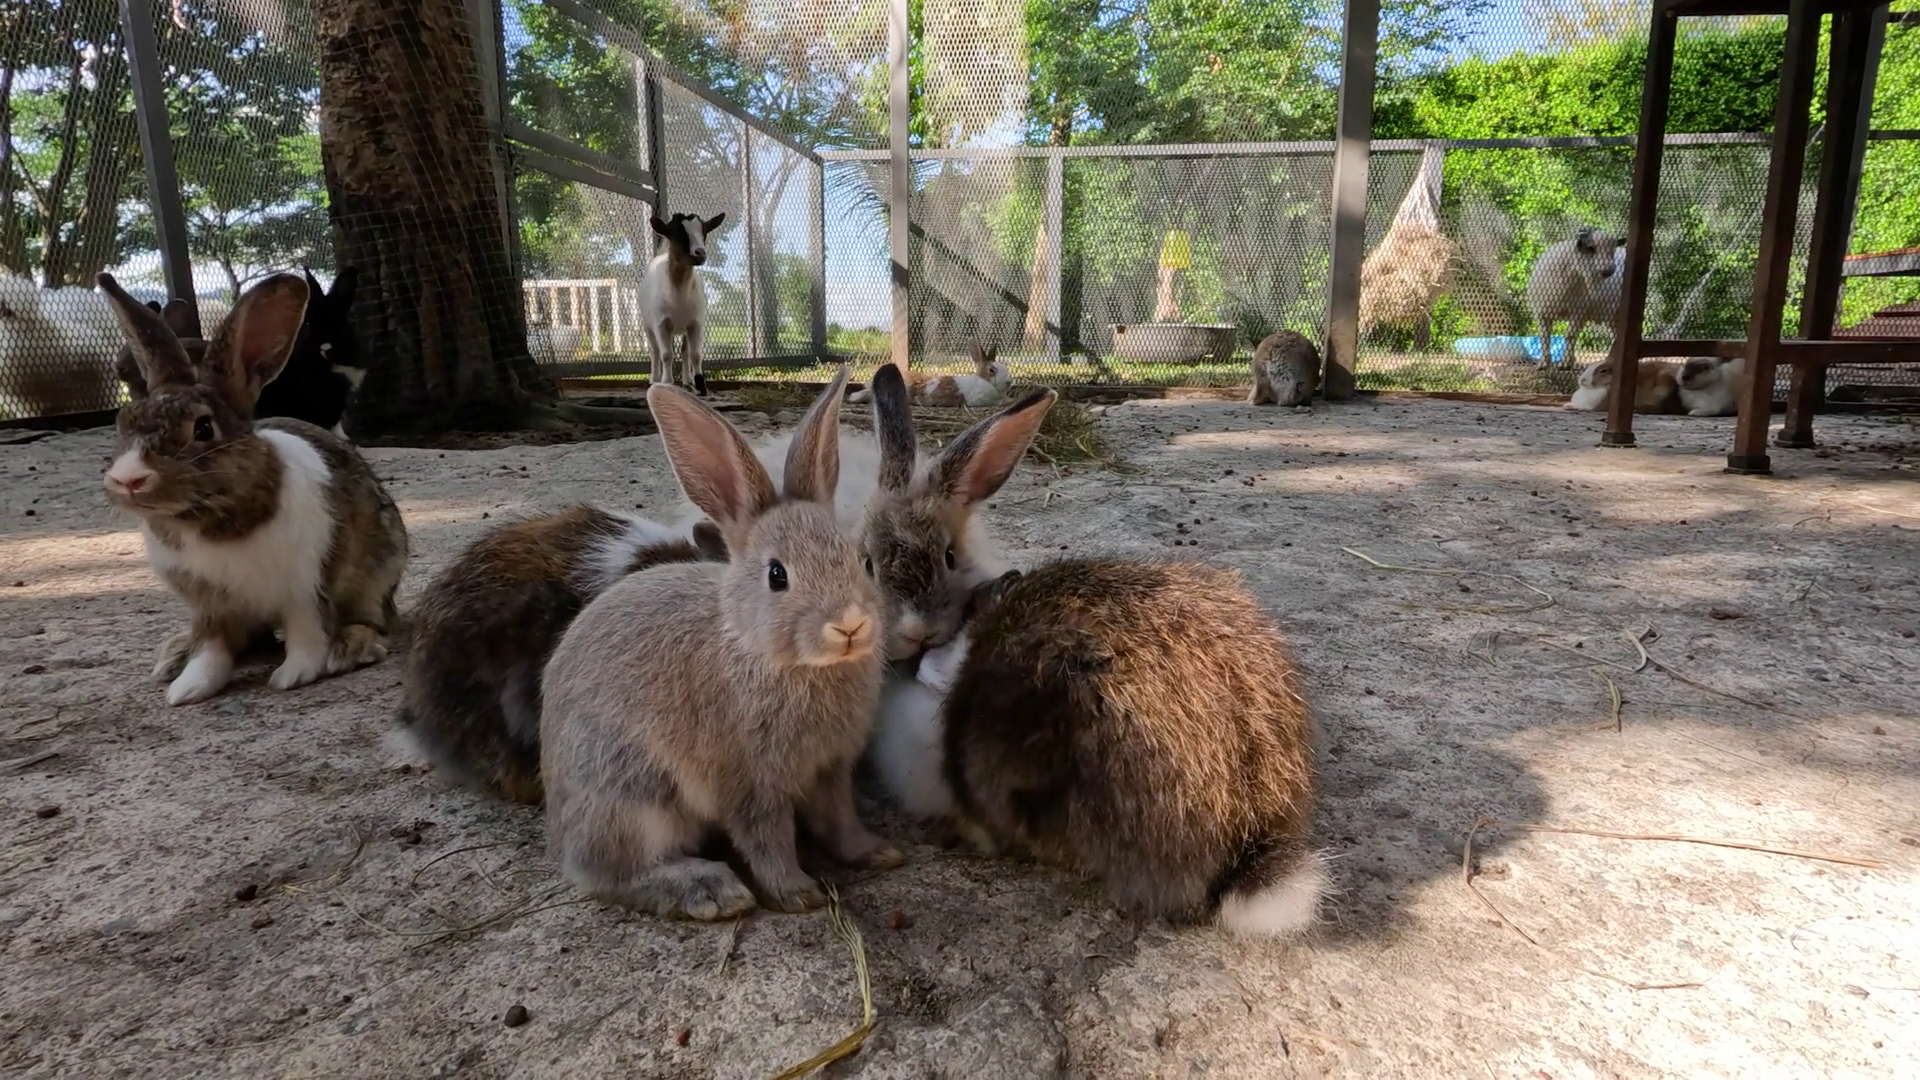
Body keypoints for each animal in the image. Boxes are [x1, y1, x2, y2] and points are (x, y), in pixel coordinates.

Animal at [97, 271, 408, 706]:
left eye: (203, 429)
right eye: (124, 421)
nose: (128, 480)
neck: (208, 516)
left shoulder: (305, 587)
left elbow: (307, 633)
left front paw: (294, 676)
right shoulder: (210, 606)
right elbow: (211, 649)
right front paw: (188, 689)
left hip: (375, 577)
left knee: (372, 620)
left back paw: (350, 647)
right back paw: (175, 655)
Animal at [541, 365, 901, 920]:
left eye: (862, 562)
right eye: (777, 576)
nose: (850, 625)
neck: (765, 651)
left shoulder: (830, 770)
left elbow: (839, 821)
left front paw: (877, 853)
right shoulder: (750, 784)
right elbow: (768, 840)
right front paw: (798, 892)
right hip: (631, 793)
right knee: (609, 872)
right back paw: (711, 890)